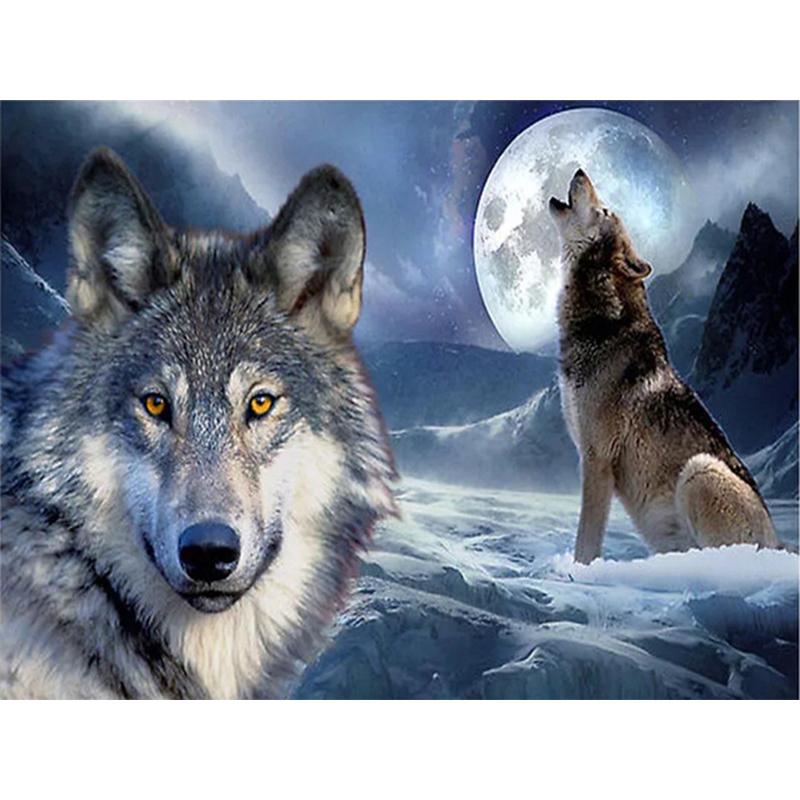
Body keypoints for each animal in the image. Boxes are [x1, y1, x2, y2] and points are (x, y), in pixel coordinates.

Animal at [549, 169, 780, 565]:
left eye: (605, 210)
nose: (580, 170)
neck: (601, 324)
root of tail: (782, 546)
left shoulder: (596, 459)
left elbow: (586, 542)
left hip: (699, 470)